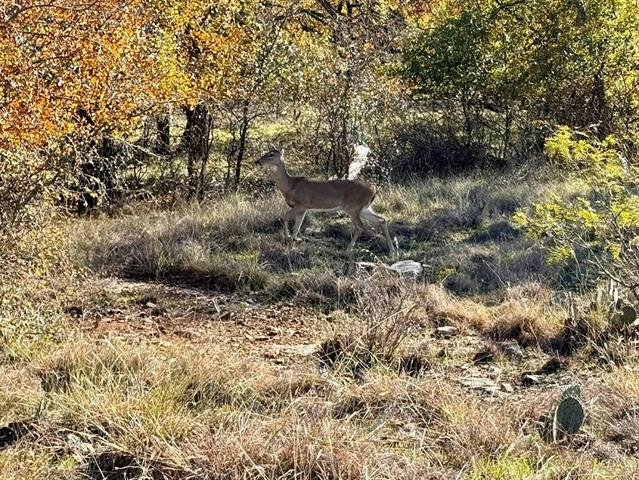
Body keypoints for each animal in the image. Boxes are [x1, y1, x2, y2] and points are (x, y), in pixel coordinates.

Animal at [255, 149, 396, 255]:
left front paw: (287, 239)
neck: (290, 186)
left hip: (353, 207)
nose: (257, 161)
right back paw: (392, 251)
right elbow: (296, 227)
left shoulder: (302, 204)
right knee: (382, 219)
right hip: (364, 208)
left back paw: (347, 250)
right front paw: (293, 243)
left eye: (271, 154)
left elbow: (283, 217)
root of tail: (373, 188)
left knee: (360, 227)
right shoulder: (302, 209)